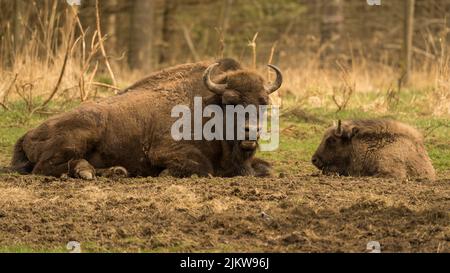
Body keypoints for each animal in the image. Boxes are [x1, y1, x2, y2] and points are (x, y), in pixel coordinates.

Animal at [10, 58, 282, 178]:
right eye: (229, 101)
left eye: (264, 102)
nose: (250, 132)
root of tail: (26, 135)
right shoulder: (164, 151)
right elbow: (203, 168)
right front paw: (164, 174)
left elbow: (266, 169)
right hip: (83, 131)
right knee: (44, 168)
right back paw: (86, 171)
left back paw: (114, 171)